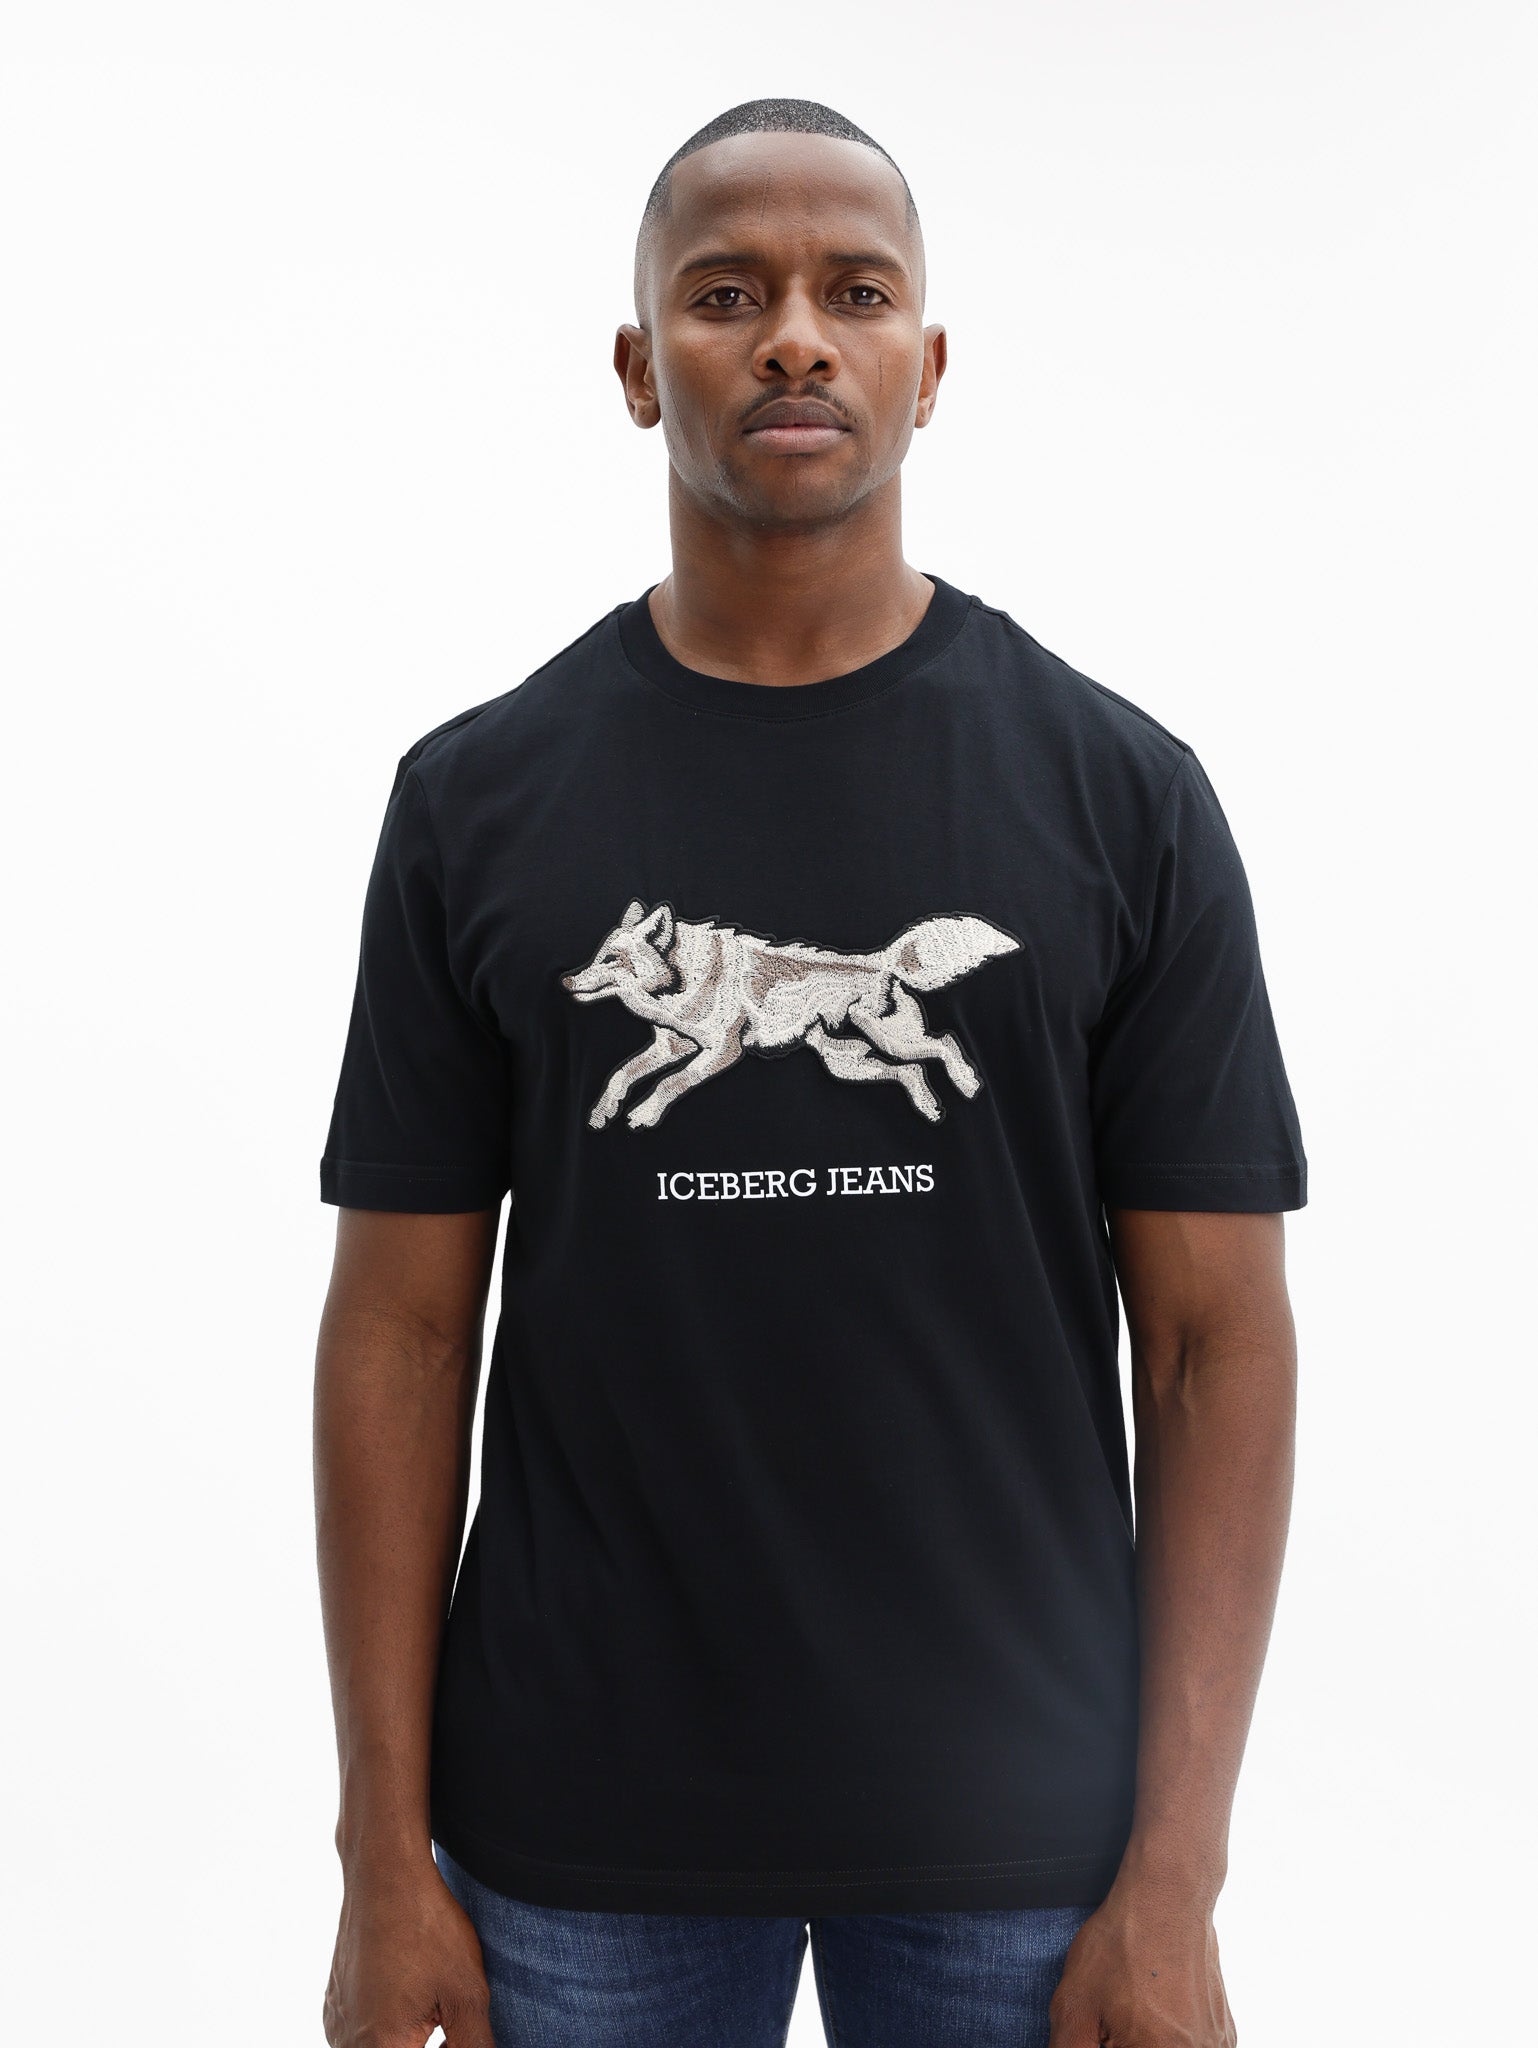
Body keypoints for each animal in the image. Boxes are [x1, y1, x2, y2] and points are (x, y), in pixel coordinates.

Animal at [560, 899, 1020, 1131]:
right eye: (598, 954)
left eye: (612, 959)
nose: (565, 981)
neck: (682, 981)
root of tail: (879, 960)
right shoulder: (671, 1047)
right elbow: (621, 1074)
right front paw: (599, 1114)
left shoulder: (722, 1053)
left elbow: (670, 1082)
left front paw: (643, 1115)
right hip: (847, 1064)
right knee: (913, 1071)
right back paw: (929, 1108)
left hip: (893, 1041)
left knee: (944, 1044)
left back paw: (968, 1085)